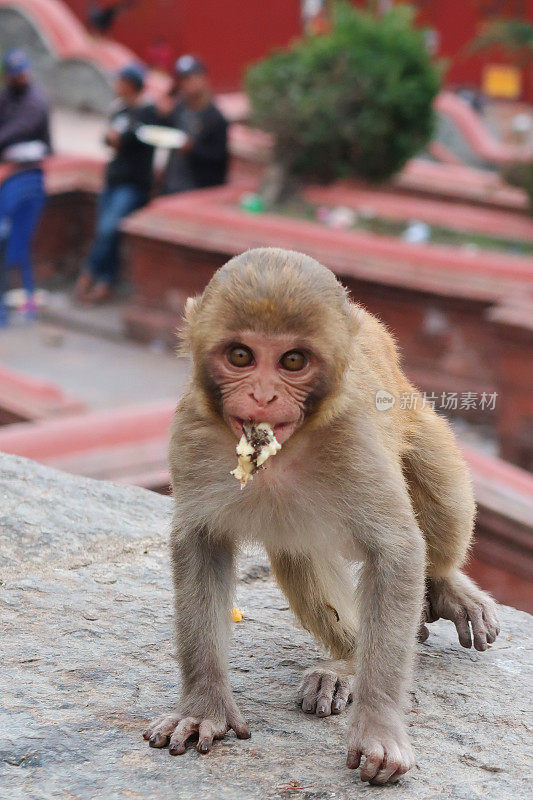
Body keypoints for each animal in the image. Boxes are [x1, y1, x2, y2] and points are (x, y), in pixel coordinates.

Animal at [142, 248, 498, 780]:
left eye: (293, 361)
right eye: (241, 356)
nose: (263, 396)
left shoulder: (354, 436)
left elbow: (396, 551)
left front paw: (379, 727)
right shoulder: (192, 433)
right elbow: (201, 544)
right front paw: (203, 706)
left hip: (419, 419)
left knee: (439, 486)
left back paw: (445, 587)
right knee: (296, 547)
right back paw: (348, 659)